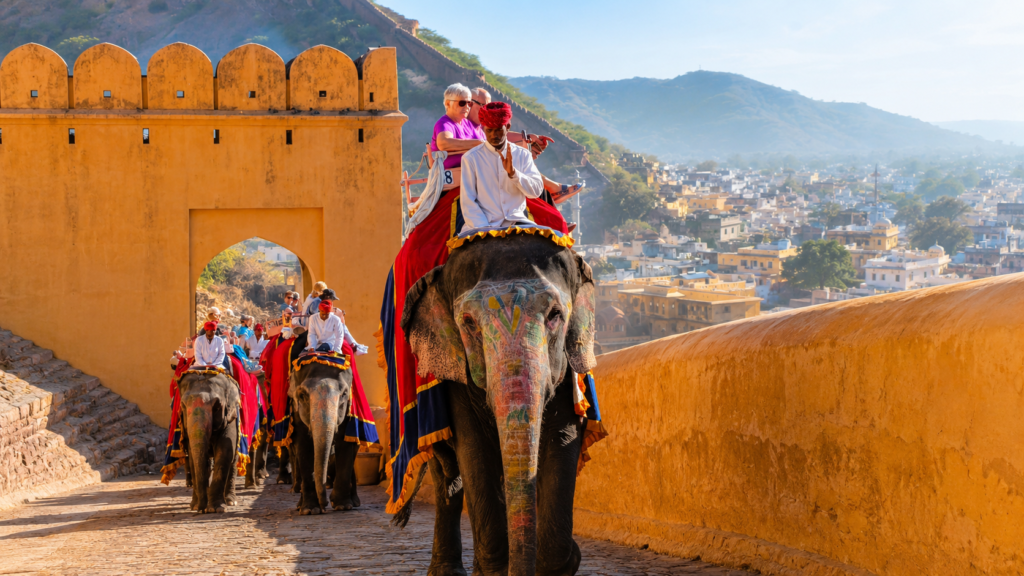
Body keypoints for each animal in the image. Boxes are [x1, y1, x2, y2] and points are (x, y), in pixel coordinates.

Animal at [178, 370, 241, 513]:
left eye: (217, 407)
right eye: (183, 405)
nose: (202, 510)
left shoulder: (231, 418)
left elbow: (225, 451)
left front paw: (215, 508)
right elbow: (193, 457)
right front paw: (196, 506)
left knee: (234, 458)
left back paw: (231, 501)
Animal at [288, 349, 362, 515]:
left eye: (344, 394)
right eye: (302, 395)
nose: (325, 504)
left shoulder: (348, 413)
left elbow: (345, 444)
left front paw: (342, 506)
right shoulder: (296, 413)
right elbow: (303, 446)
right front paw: (310, 510)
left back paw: (354, 502)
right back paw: (299, 506)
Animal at [400, 232, 597, 576]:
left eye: (555, 315)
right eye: (468, 322)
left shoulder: (568, 374)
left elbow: (563, 437)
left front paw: (564, 560)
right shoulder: (455, 374)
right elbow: (473, 448)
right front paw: (495, 570)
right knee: (447, 476)